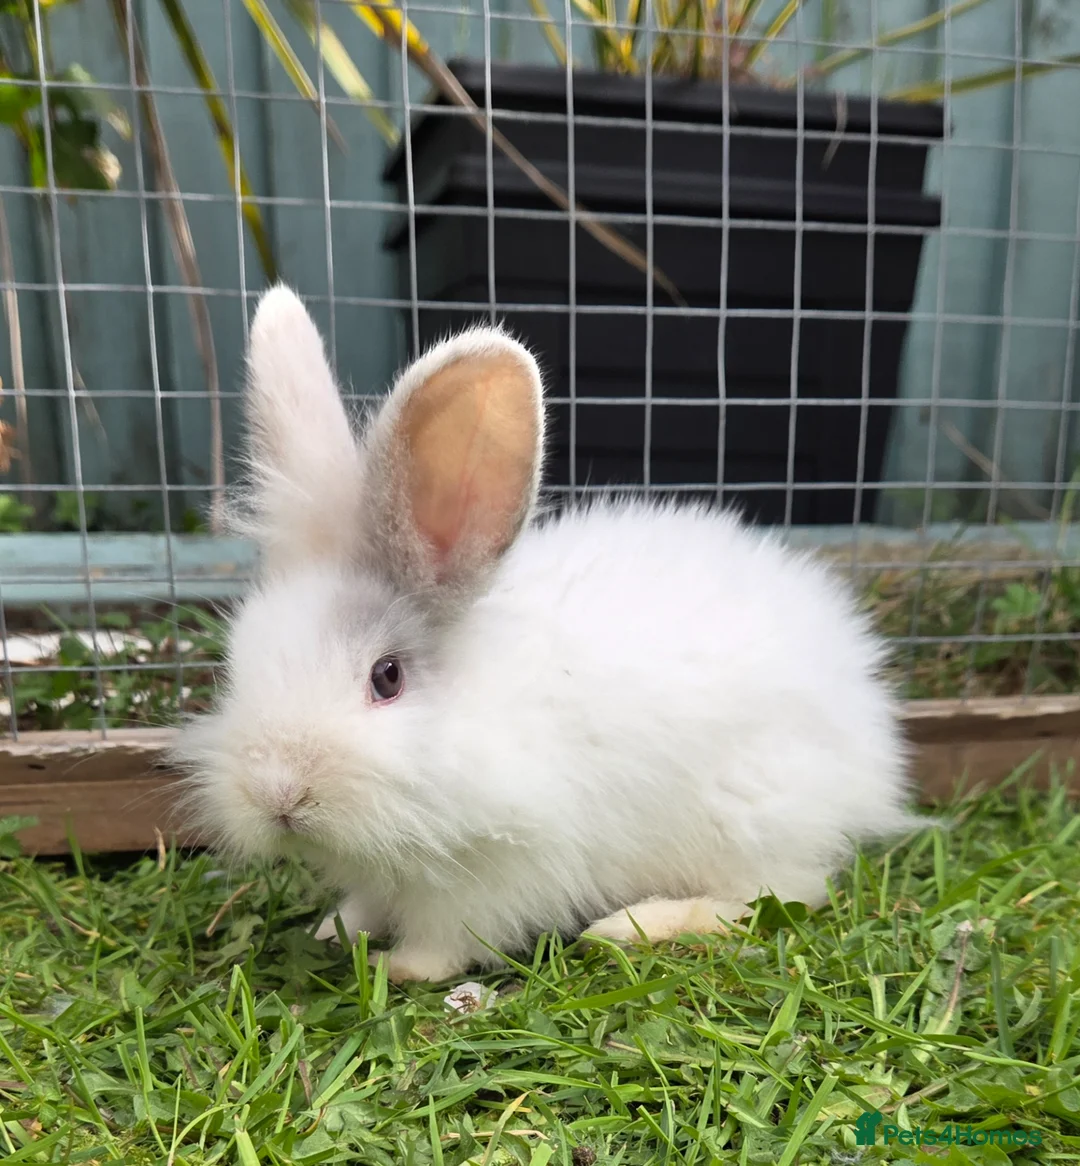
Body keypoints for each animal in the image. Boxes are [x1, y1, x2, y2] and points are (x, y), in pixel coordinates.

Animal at [174, 283, 919, 984]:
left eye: (387, 678)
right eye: (235, 667)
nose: (277, 794)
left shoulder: (503, 863)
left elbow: (450, 936)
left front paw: (402, 968)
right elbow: (365, 904)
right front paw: (336, 930)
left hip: (749, 819)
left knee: (781, 894)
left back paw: (635, 925)